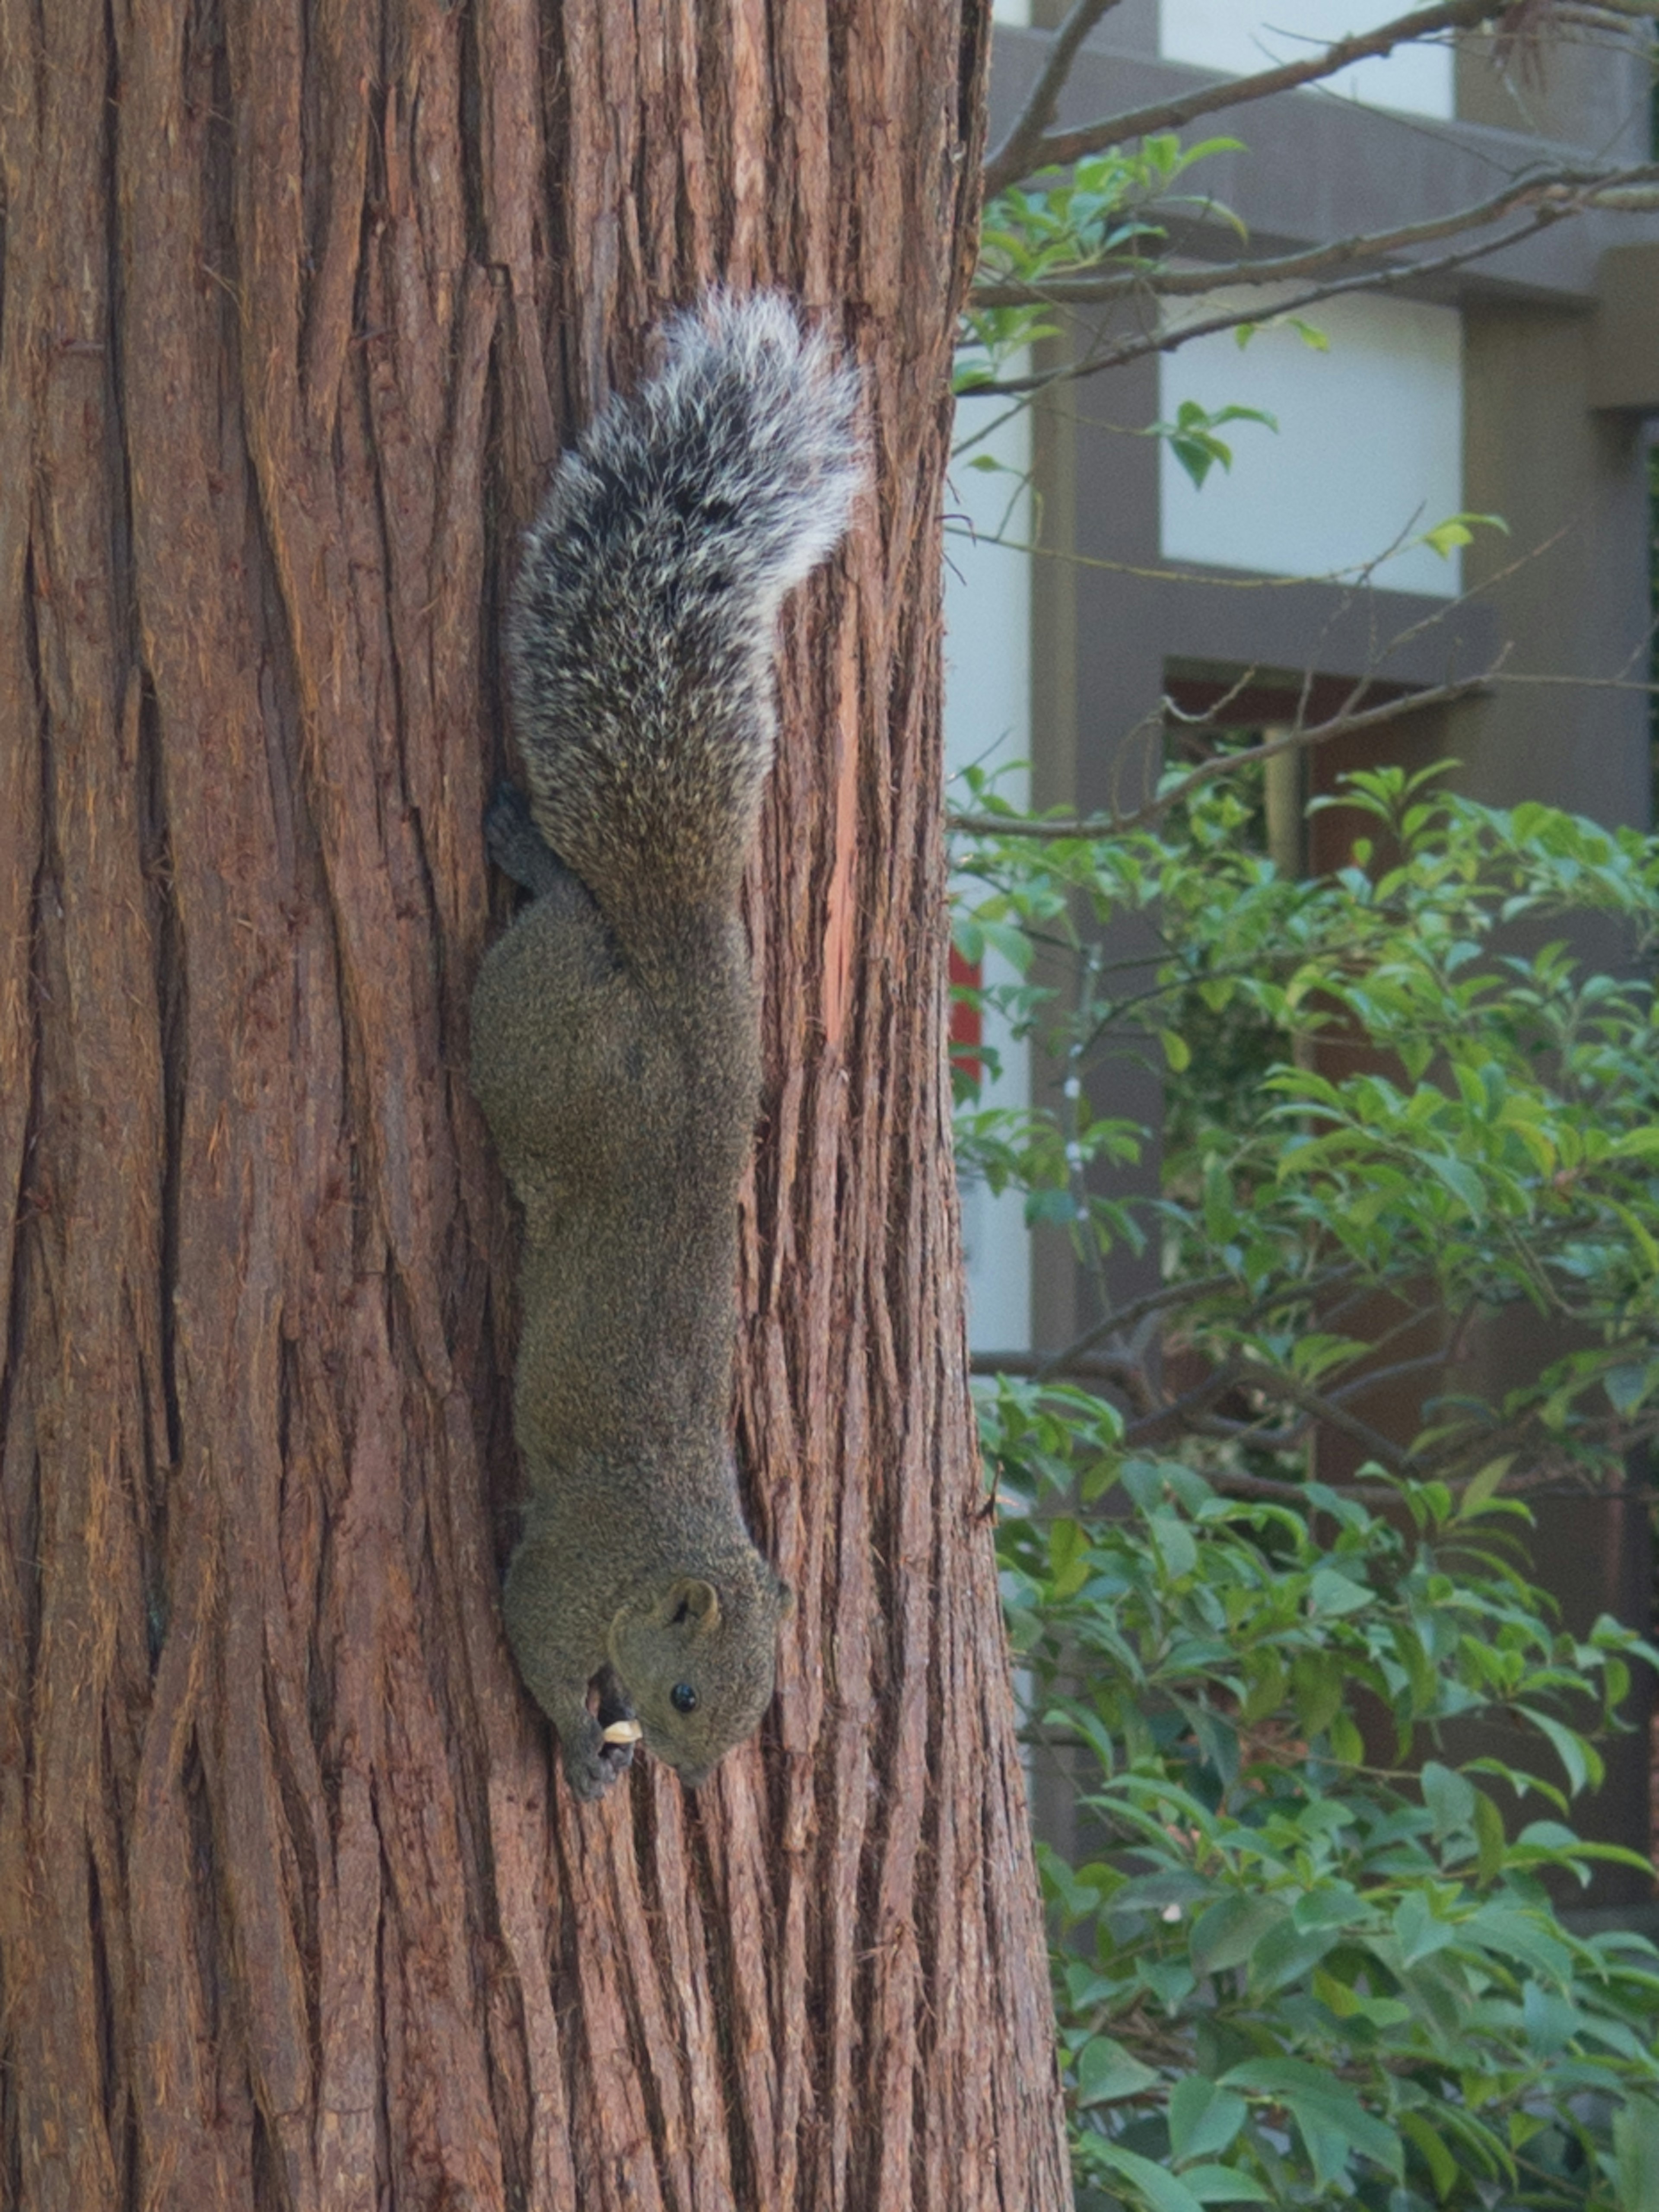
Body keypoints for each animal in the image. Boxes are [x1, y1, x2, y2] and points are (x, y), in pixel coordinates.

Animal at [469, 294, 858, 1796]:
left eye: (745, 1709)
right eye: (688, 1688)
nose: (692, 1781)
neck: (664, 1550)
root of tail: (690, 967)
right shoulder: (565, 1571)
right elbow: (526, 1631)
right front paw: (581, 1746)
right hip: (542, 1046)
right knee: (562, 923)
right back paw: (532, 855)